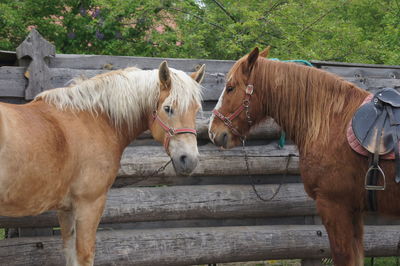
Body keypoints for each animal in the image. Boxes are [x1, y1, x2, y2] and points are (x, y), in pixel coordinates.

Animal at [0, 61, 205, 264]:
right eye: (168, 108)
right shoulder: (89, 204)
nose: (189, 159)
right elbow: (84, 255)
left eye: (196, 110)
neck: (94, 119)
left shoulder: (66, 210)